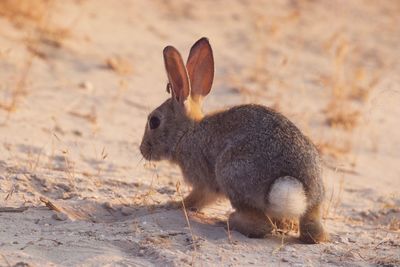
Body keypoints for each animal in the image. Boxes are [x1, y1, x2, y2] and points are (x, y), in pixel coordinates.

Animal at [140, 37, 328, 245]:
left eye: (154, 121)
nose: (142, 149)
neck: (187, 133)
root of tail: (303, 190)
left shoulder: (204, 182)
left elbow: (196, 198)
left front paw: (173, 204)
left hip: (231, 173)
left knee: (261, 225)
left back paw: (228, 220)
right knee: (311, 232)